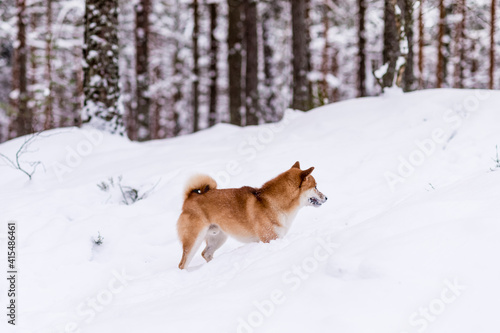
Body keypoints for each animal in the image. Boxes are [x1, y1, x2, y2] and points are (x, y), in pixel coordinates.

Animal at [177, 162, 328, 268]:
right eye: (315, 186)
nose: (326, 198)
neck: (272, 203)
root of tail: (190, 197)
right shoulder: (269, 239)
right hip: (193, 240)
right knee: (182, 264)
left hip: (218, 238)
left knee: (206, 254)